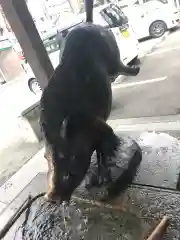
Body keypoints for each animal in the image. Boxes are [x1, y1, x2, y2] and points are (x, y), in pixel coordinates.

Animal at [40, 0, 140, 202]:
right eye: (46, 158)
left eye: (69, 157)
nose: (51, 197)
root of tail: (88, 22)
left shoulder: (97, 123)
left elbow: (106, 144)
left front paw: (105, 176)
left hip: (112, 51)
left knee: (119, 65)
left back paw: (136, 69)